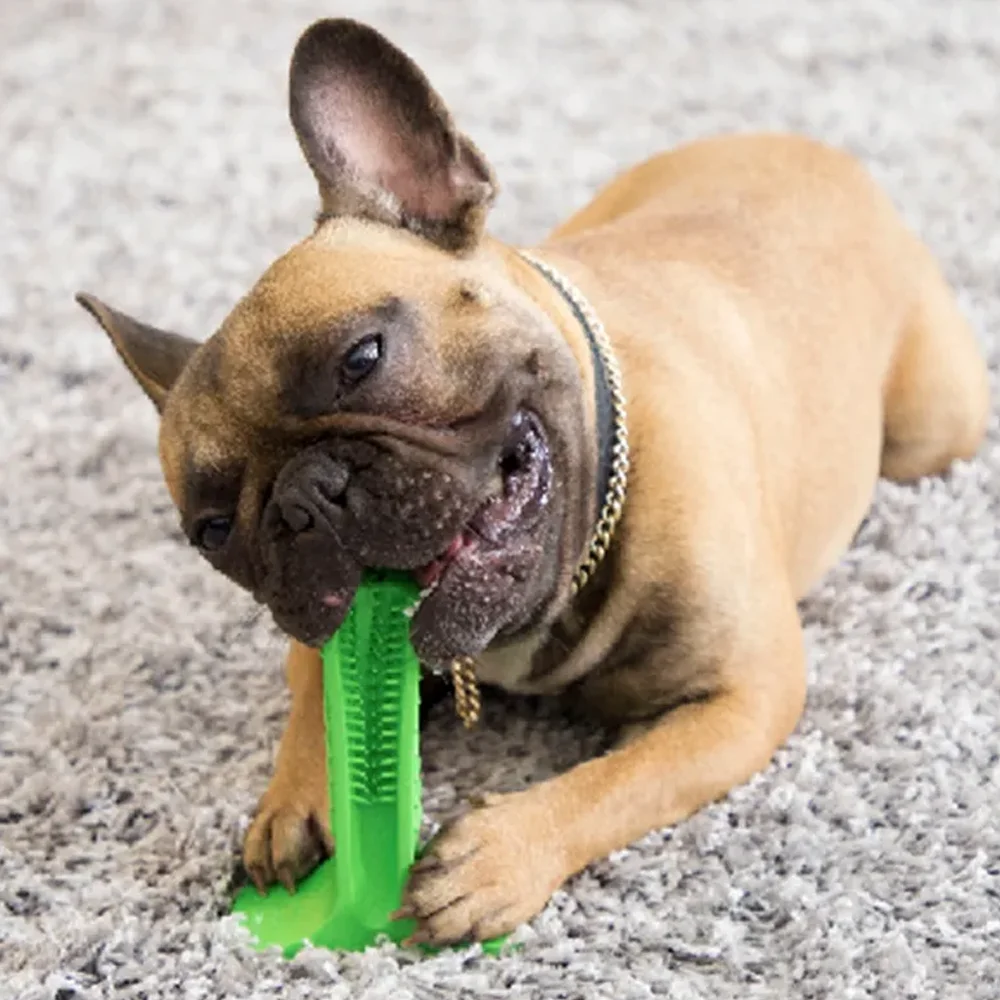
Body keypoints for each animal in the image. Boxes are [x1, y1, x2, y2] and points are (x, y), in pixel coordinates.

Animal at [74, 19, 988, 948]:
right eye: (214, 530)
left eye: (362, 358)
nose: (301, 499)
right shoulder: (322, 633)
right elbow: (316, 697)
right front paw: (290, 801)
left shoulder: (742, 700)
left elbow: (623, 780)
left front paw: (499, 855)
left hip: (932, 433)